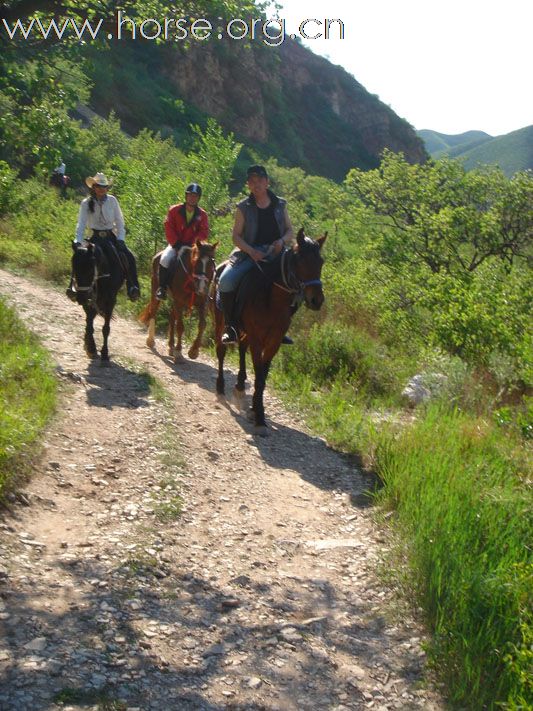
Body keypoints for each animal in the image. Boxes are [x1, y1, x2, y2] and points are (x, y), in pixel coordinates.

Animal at [212, 231, 324, 436]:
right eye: (300, 261)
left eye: (321, 262)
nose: (316, 300)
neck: (272, 299)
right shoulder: (257, 339)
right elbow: (258, 375)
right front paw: (259, 417)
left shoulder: (274, 341)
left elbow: (263, 376)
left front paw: (256, 410)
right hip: (220, 321)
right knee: (221, 351)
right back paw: (221, 389)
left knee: (242, 349)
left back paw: (240, 387)